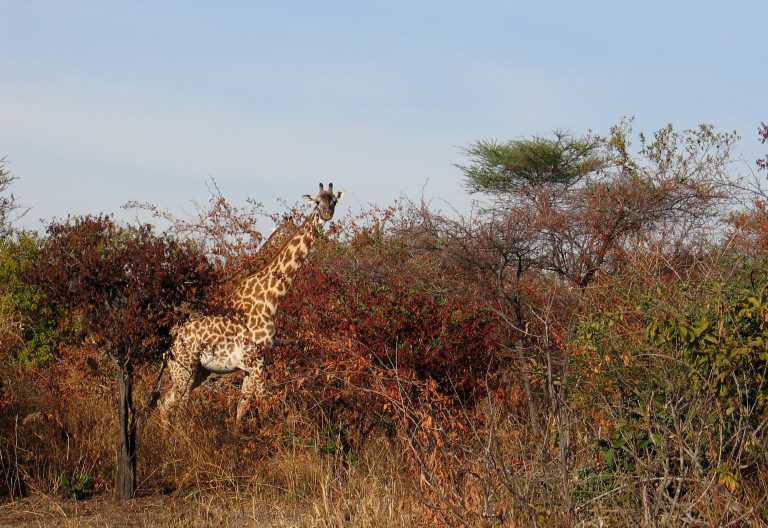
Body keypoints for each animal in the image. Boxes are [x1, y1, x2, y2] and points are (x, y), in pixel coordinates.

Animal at [158, 183, 344, 428]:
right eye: (316, 201)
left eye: (334, 201)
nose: (326, 214)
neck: (271, 296)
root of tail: (171, 343)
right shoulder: (257, 361)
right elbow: (265, 402)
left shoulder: (251, 365)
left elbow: (242, 406)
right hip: (184, 370)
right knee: (174, 405)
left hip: (199, 372)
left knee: (165, 403)